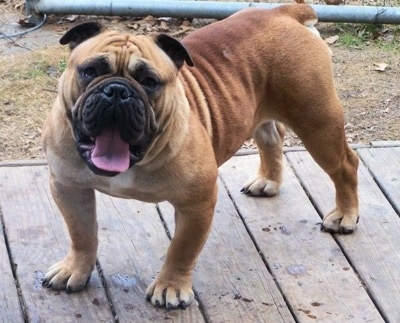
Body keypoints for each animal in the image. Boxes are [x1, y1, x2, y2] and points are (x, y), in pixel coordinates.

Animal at [41, 4, 360, 308]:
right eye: (90, 71)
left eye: (150, 81)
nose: (117, 91)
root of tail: (284, 11)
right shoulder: (69, 188)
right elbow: (81, 233)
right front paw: (74, 269)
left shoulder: (197, 203)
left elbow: (182, 249)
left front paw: (170, 287)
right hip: (261, 113)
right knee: (272, 137)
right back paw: (267, 181)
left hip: (317, 123)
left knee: (345, 165)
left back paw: (345, 215)